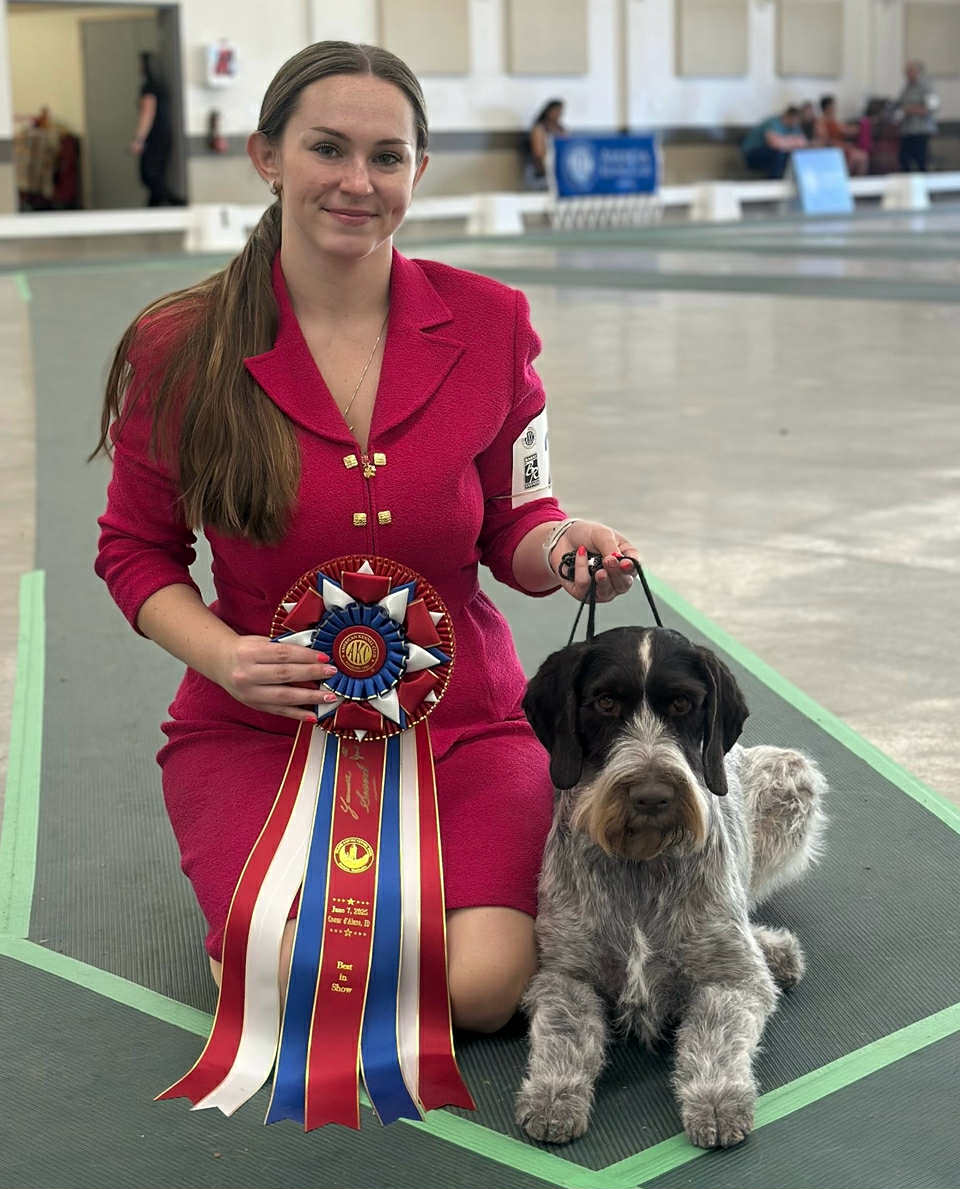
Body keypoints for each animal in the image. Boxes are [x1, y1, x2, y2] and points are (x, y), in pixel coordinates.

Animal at [516, 626, 826, 1149]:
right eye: (604, 702)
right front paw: (554, 1093)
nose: (652, 796)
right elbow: (565, 1031)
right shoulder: (565, 973)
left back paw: (771, 948)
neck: (641, 864)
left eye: (682, 704)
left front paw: (717, 1099)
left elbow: (714, 1033)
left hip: (790, 777)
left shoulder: (732, 980)